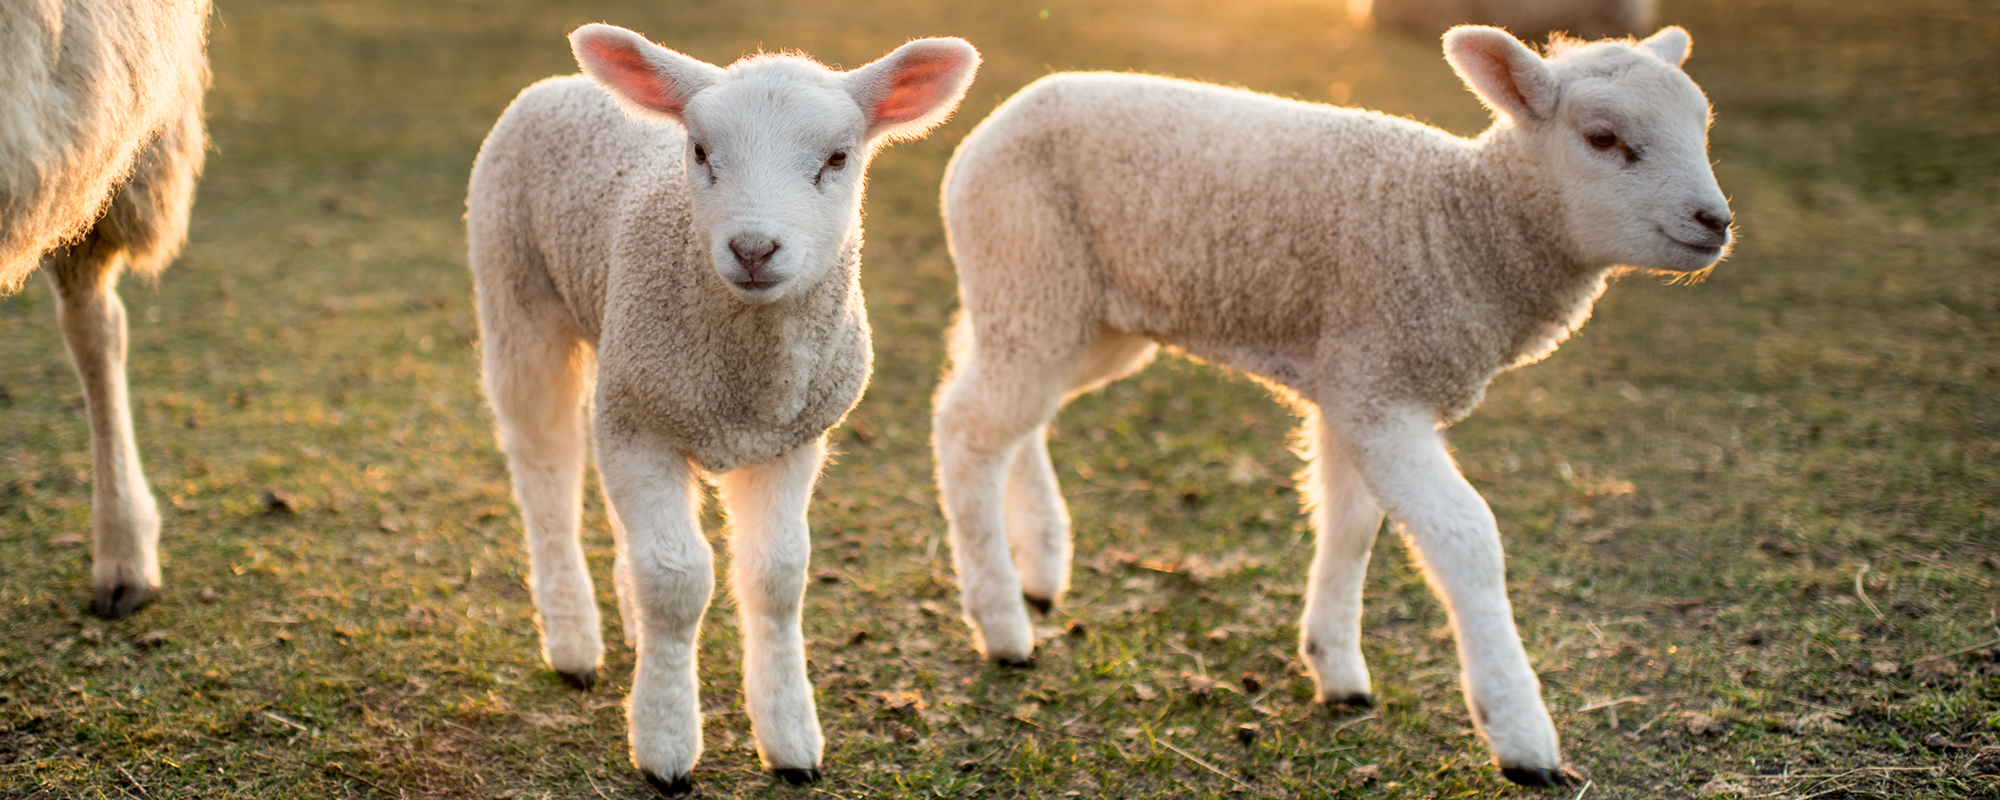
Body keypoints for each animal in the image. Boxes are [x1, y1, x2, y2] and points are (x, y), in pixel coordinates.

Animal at [462, 23, 976, 792]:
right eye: (701, 152)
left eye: (837, 158)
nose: (754, 248)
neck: (747, 383)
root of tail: (565, 82)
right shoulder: (643, 425)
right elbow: (677, 581)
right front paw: (666, 743)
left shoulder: (789, 438)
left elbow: (776, 576)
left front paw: (790, 739)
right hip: (517, 292)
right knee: (545, 469)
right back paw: (574, 642)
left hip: (619, 357)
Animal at [936, 26, 1736, 788]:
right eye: (1602, 138)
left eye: (1701, 127)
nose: (1716, 221)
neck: (1463, 225)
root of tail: (1003, 114)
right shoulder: (1377, 387)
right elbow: (1465, 538)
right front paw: (1519, 734)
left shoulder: (1354, 382)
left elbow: (1351, 527)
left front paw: (1337, 668)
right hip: (1029, 272)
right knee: (967, 427)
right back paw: (1002, 623)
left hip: (1084, 317)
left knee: (1017, 417)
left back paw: (1040, 564)